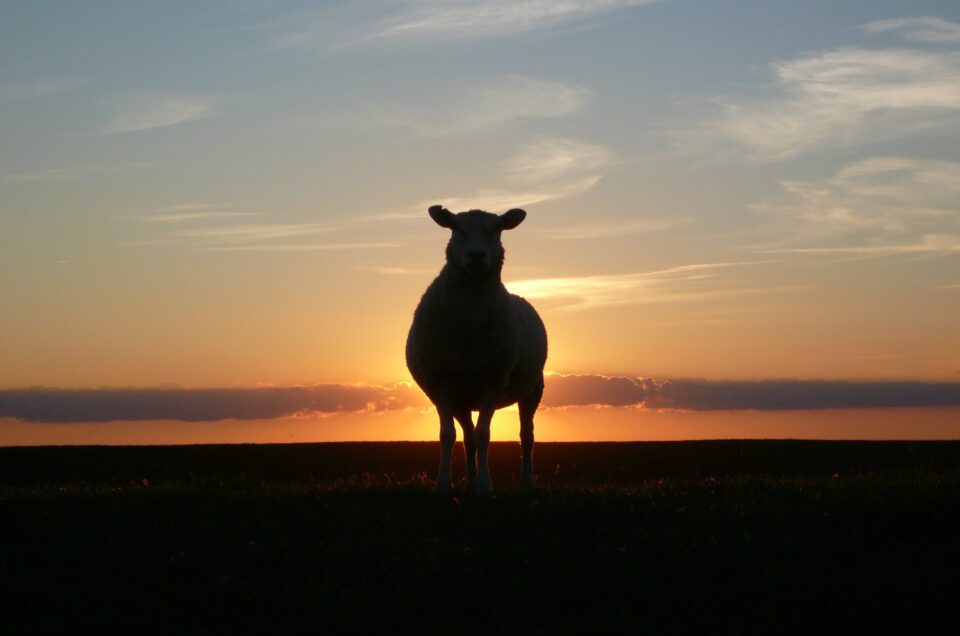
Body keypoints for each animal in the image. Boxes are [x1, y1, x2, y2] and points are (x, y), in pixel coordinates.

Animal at [404, 206, 548, 494]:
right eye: (457, 229)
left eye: (497, 229)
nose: (476, 255)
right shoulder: (441, 382)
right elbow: (448, 435)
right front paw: (443, 484)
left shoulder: (494, 380)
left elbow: (484, 435)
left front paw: (485, 486)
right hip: (462, 398)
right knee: (467, 437)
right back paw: (469, 481)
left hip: (533, 390)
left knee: (527, 436)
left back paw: (526, 481)